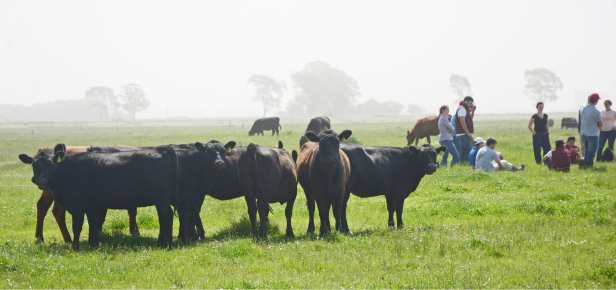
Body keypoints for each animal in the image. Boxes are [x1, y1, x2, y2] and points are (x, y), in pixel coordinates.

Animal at [41, 144, 178, 248]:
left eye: (50, 164)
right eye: (36, 165)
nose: (40, 180)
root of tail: (163, 149)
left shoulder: (78, 207)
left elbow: (78, 226)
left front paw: (76, 246)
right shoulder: (92, 207)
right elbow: (93, 224)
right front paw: (94, 244)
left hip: (161, 200)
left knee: (166, 216)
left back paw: (166, 244)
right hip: (160, 201)